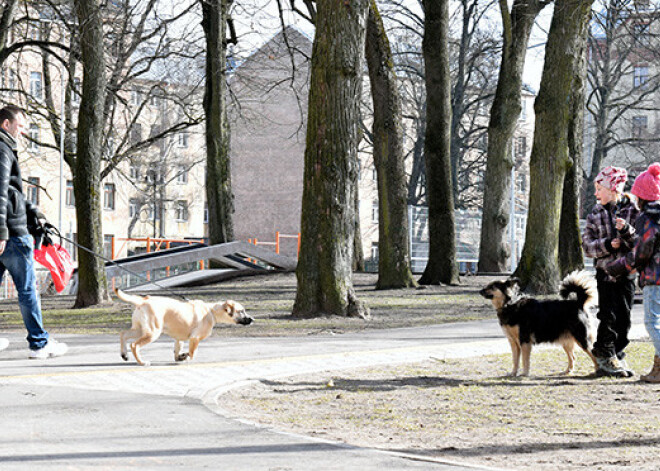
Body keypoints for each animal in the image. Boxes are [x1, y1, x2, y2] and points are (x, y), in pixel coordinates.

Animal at [114, 290, 251, 366]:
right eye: (241, 311)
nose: (252, 319)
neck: (211, 311)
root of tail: (143, 301)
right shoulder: (195, 338)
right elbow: (193, 353)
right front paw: (186, 357)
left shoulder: (179, 339)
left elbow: (177, 350)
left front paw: (180, 356)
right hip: (152, 332)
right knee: (134, 345)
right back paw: (142, 362)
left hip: (140, 329)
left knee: (123, 334)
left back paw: (124, 354)